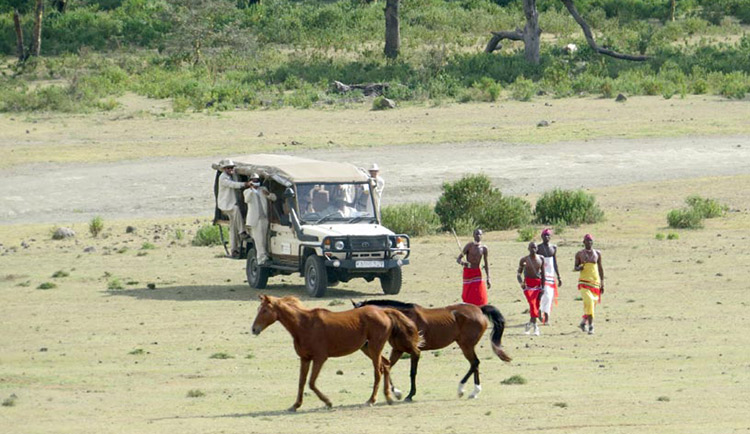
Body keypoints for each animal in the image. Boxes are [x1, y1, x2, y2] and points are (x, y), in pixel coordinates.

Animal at [253, 294, 424, 410]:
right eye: (258, 309)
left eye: (265, 310)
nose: (254, 329)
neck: (304, 324)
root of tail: (384, 312)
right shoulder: (305, 358)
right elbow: (302, 382)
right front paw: (295, 405)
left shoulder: (320, 358)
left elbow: (311, 383)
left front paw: (328, 402)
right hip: (368, 348)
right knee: (386, 365)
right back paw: (390, 396)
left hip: (375, 347)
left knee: (378, 371)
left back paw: (372, 400)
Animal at [356, 300, 516, 402]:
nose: (364, 344)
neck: (402, 319)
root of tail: (479, 309)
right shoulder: (398, 350)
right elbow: (387, 367)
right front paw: (397, 393)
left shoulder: (414, 351)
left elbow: (412, 373)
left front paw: (409, 395)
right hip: (467, 345)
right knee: (474, 364)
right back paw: (474, 392)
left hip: (466, 345)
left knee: (475, 363)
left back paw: (461, 389)